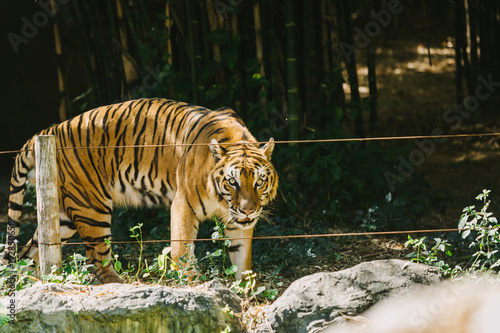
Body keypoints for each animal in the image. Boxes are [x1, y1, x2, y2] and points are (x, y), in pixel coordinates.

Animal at [2, 98, 278, 282]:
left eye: (259, 182)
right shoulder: (183, 204)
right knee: (96, 258)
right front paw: (193, 284)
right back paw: (120, 286)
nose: (248, 211)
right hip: (91, 208)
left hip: (64, 215)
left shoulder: (237, 222)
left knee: (31, 252)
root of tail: (47, 130)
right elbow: (182, 251)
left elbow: (242, 258)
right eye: (232, 182)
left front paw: (247, 289)